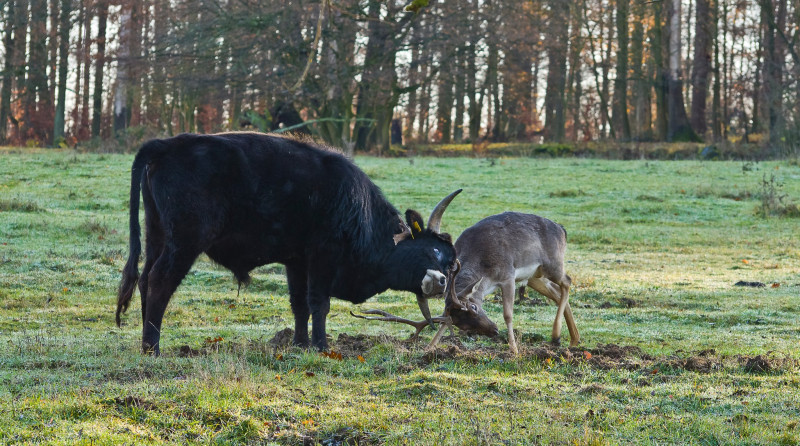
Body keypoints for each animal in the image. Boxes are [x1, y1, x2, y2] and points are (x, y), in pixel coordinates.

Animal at [115, 131, 460, 354]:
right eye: (434, 250)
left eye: (451, 263)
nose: (443, 281)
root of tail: (165, 144)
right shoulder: (323, 255)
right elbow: (319, 302)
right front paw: (320, 346)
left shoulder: (296, 261)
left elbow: (299, 304)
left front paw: (299, 343)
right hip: (184, 242)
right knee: (159, 282)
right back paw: (153, 347)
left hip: (157, 235)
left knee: (144, 280)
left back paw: (147, 339)